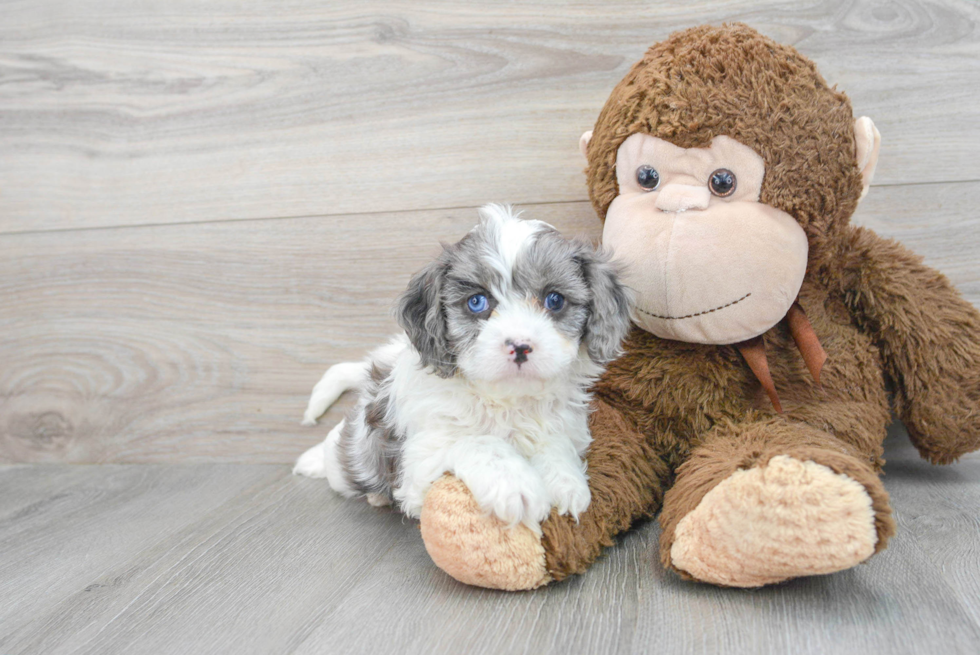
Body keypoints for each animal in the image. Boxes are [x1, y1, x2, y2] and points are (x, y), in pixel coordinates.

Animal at [294, 205, 632, 532]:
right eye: (477, 302)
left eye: (555, 300)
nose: (520, 346)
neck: (507, 401)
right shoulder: (419, 461)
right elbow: (477, 441)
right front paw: (515, 484)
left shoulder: (563, 424)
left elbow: (556, 443)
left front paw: (565, 481)